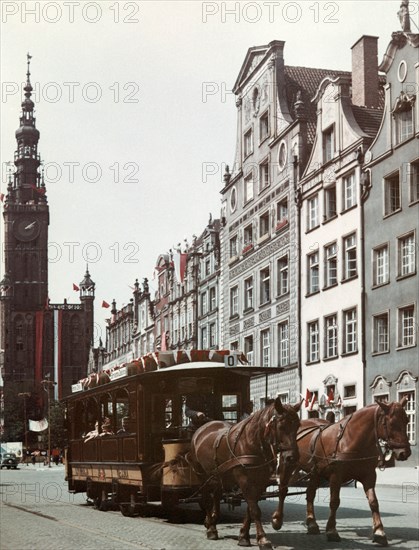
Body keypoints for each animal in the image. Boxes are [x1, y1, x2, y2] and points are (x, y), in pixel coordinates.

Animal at [187, 398, 302, 548]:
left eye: (297, 426)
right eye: (281, 426)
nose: (292, 457)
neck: (253, 442)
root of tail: (202, 428)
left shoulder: (260, 481)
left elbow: (250, 508)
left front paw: (243, 536)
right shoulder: (245, 480)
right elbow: (255, 510)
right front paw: (263, 539)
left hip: (219, 475)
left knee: (216, 496)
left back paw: (212, 520)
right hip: (202, 474)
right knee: (206, 499)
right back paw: (211, 528)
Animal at [274, 398, 412, 548]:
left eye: (406, 420)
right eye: (391, 423)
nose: (405, 452)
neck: (353, 440)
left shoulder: (369, 476)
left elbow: (374, 502)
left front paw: (379, 532)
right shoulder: (336, 476)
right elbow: (334, 502)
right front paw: (332, 531)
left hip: (315, 472)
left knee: (310, 494)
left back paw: (312, 523)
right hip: (288, 463)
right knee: (283, 490)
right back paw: (277, 519)